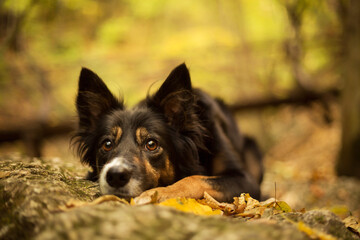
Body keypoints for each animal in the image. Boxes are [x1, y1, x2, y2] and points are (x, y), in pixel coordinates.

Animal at [74, 62, 264, 203]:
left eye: (151, 144)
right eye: (107, 144)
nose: (115, 175)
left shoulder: (244, 180)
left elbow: (195, 178)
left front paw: (157, 193)